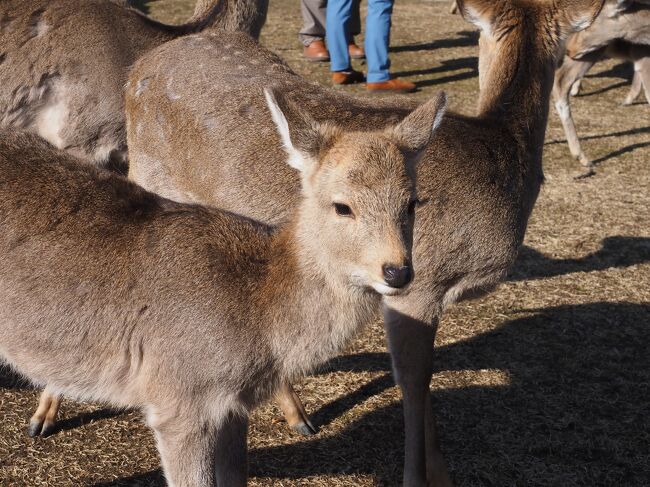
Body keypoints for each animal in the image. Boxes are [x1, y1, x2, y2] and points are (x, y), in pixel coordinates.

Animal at [0, 88, 446, 487]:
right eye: (342, 206)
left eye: (412, 203)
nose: (397, 272)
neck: (258, 315)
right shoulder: (178, 400)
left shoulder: (234, 407)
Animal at [123, 0, 604, 484]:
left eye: (412, 203)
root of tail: (138, 69)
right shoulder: (418, 284)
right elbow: (416, 380)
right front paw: (421, 476)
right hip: (149, 176)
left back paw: (297, 415)